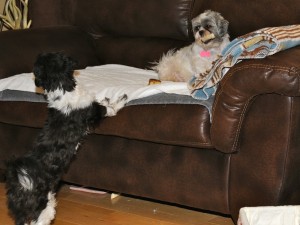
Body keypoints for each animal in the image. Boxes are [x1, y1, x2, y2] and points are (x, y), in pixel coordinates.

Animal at [4, 52, 126, 225]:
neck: (62, 89)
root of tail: (22, 180)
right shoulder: (94, 111)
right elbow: (109, 108)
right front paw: (119, 100)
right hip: (44, 207)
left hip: (22, 211)